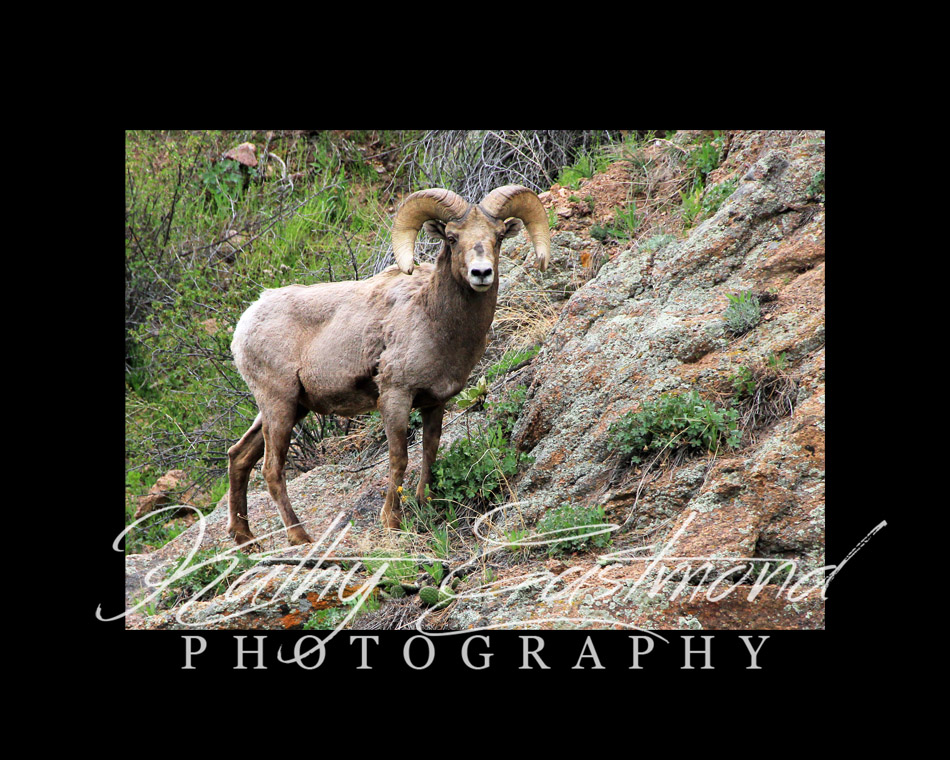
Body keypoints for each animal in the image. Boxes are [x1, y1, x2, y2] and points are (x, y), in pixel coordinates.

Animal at [226, 185, 551, 546]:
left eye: (498, 237)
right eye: (452, 238)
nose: (481, 273)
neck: (434, 319)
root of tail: (246, 321)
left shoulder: (434, 402)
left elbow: (429, 452)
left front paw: (425, 505)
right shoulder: (395, 397)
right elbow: (400, 458)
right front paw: (392, 521)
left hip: (291, 408)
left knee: (239, 457)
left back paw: (243, 537)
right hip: (279, 404)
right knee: (271, 469)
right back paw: (301, 537)